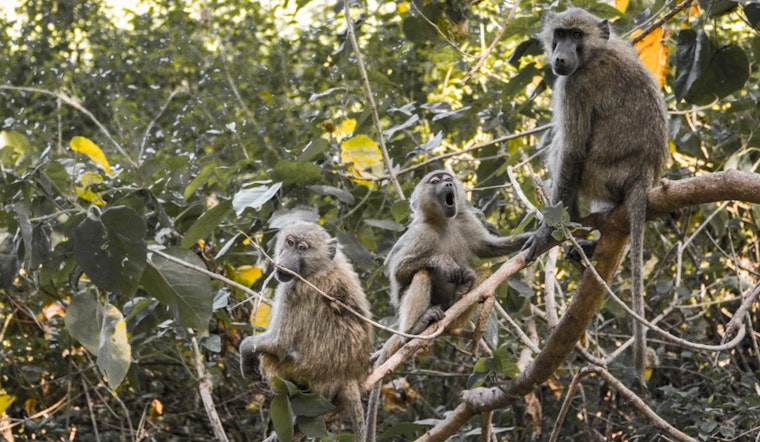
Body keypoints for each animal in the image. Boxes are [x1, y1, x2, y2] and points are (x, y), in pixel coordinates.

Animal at [239, 222, 372, 441]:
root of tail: (349, 375)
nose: (285, 262)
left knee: (268, 359)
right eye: (290, 243)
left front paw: (245, 351)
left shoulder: (292, 291)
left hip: (310, 377)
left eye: (302, 248)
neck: (319, 269)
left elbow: (279, 343)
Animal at [366, 170, 521, 441]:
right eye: (435, 181)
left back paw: (462, 293)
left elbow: (488, 248)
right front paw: (443, 262)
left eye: (447, 177)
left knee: (481, 274)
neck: (444, 222)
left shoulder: (465, 220)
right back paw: (414, 330)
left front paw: (541, 236)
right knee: (422, 273)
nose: (448, 183)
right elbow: (400, 272)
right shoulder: (420, 234)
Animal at [523, 7, 671, 384]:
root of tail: (642, 174)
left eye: (576, 35)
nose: (560, 58)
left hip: (600, 176)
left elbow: (572, 152)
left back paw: (574, 230)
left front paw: (547, 233)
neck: (596, 54)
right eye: (560, 34)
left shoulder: (574, 86)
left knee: (562, 152)